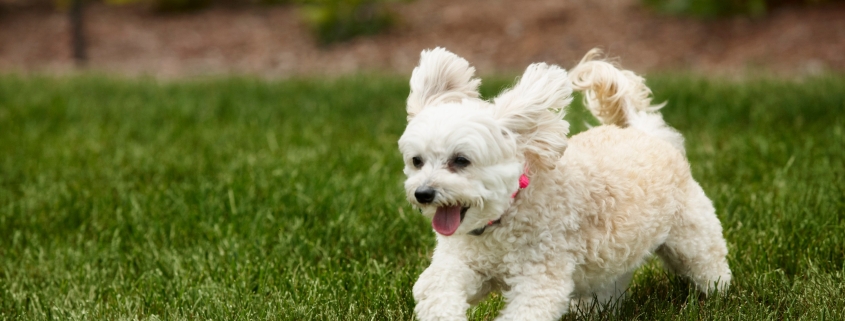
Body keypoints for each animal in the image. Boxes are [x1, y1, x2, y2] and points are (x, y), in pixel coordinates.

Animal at [398, 48, 728, 320]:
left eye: (461, 160)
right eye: (417, 161)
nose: (423, 193)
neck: (503, 217)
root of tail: (647, 132)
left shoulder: (540, 278)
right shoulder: (462, 264)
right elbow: (436, 288)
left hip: (691, 237)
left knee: (709, 266)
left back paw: (717, 295)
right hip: (611, 260)